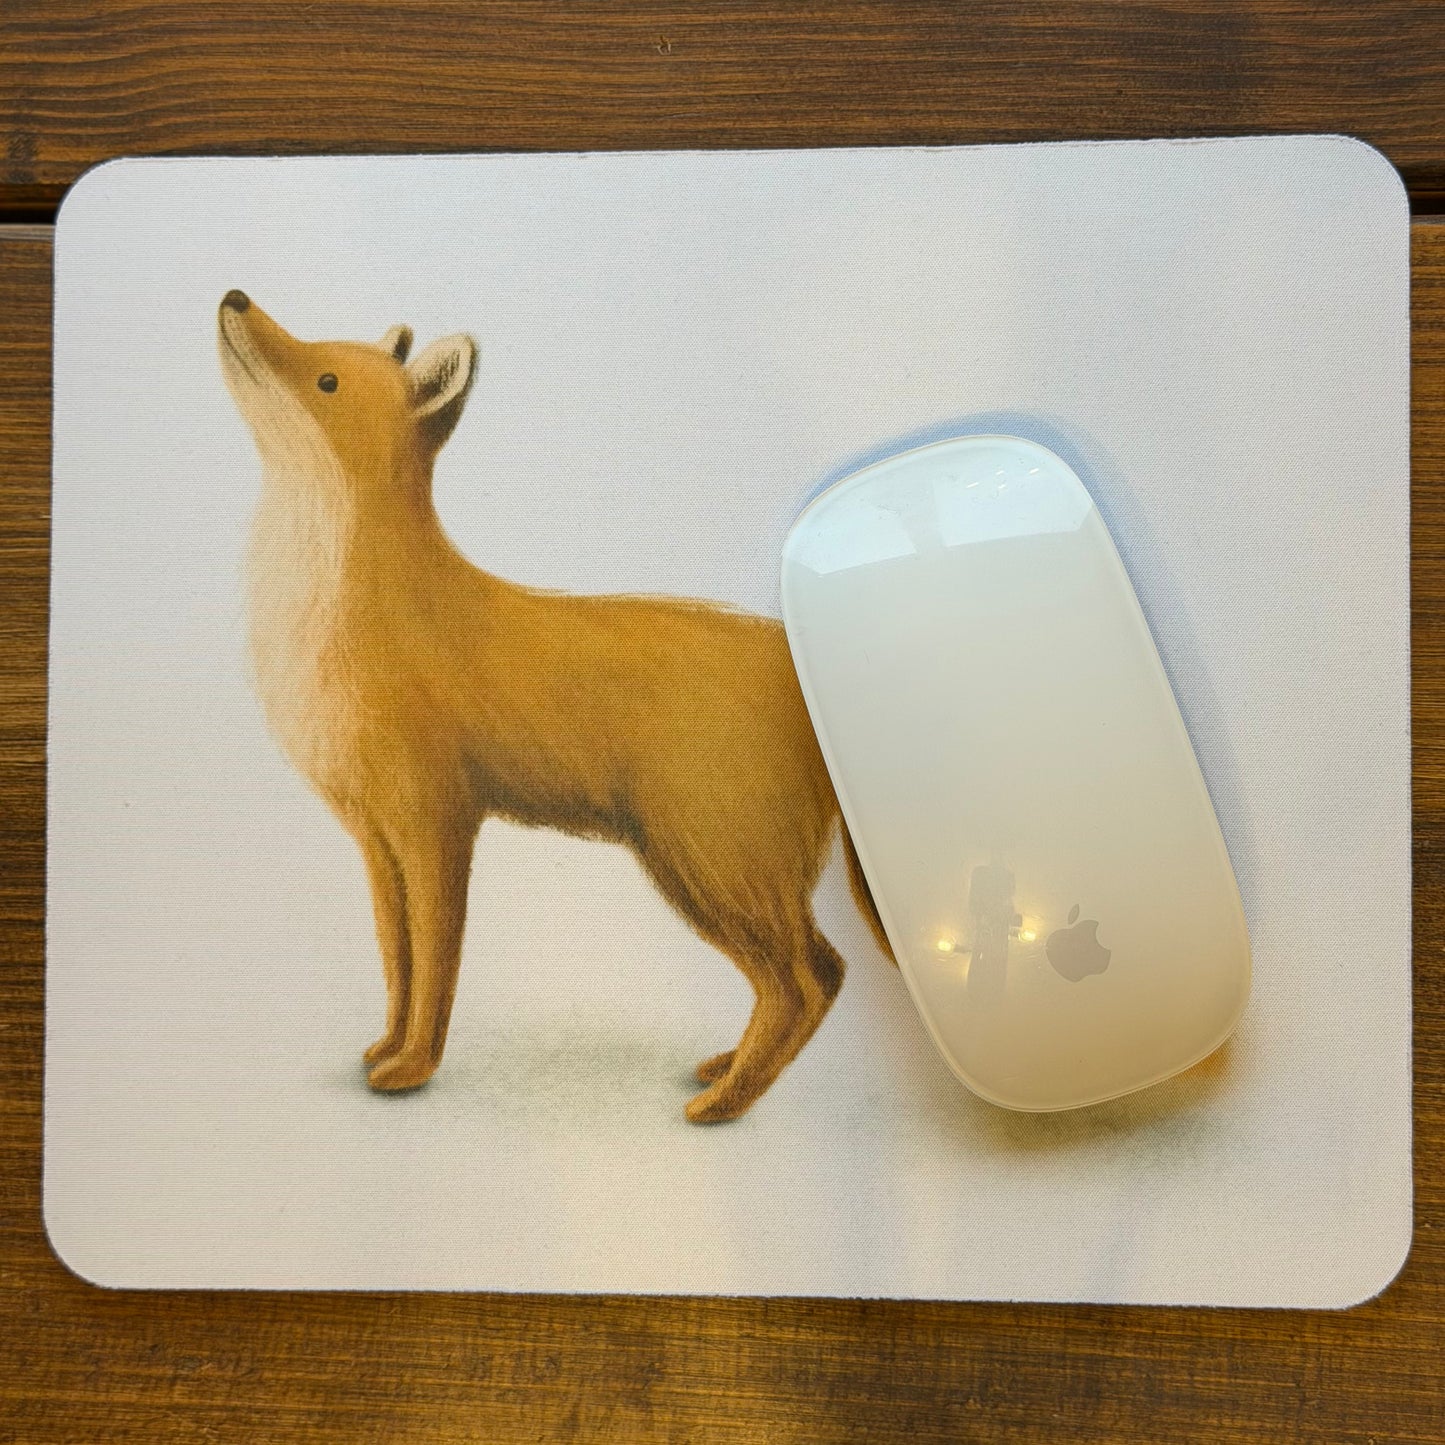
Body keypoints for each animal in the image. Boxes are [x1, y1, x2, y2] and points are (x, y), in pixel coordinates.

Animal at [217, 291, 892, 1122]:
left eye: (326, 378)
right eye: (319, 350)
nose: (236, 297)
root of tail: (795, 665)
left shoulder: (438, 823)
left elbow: (435, 964)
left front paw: (413, 1068)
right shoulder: (377, 838)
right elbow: (397, 960)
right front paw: (384, 1050)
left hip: (707, 864)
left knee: (809, 977)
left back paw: (724, 1104)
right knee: (804, 977)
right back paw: (725, 1069)